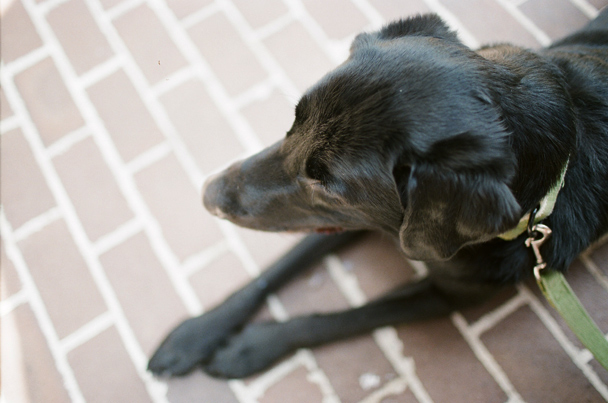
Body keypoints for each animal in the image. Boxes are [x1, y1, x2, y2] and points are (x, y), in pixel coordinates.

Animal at [149, 11, 608, 379]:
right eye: (293, 124)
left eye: (328, 186)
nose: (208, 195)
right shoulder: (361, 218)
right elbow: (273, 271)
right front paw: (197, 333)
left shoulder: (446, 292)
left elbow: (342, 319)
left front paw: (250, 347)